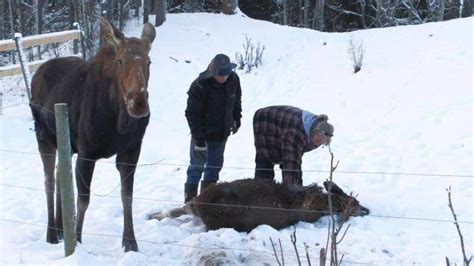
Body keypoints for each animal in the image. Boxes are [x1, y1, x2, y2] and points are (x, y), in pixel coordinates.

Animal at [29, 18, 156, 251]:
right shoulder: (87, 153)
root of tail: (37, 72)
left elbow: (127, 196)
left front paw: (130, 242)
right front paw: (78, 240)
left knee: (60, 172)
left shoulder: (131, 151)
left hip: (65, 143)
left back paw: (61, 230)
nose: (138, 103)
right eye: (120, 61)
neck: (119, 123)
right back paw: (51, 233)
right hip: (43, 136)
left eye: (149, 62)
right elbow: (83, 200)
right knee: (48, 179)